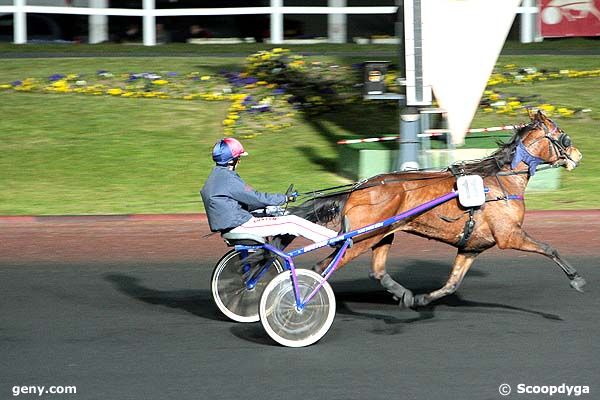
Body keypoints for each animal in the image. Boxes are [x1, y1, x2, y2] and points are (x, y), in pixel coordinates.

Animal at [292, 111, 584, 308]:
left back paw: (404, 294)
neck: (500, 181)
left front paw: (422, 299)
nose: (579, 156)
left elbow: (451, 284)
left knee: (377, 271)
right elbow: (549, 248)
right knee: (321, 267)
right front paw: (576, 279)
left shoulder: (472, 246)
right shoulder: (509, 235)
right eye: (563, 137)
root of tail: (358, 188)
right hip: (361, 239)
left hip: (383, 235)